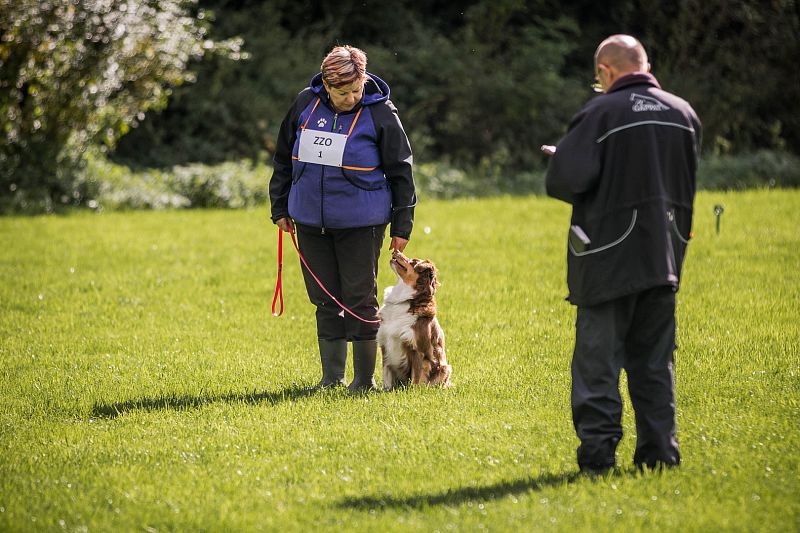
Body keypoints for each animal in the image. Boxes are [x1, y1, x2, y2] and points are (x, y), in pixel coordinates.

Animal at [376, 249, 450, 390]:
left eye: (413, 261)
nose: (396, 250)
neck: (407, 299)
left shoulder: (419, 349)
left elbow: (416, 377)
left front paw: (412, 392)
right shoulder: (385, 344)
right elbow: (386, 374)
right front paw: (385, 390)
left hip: (445, 368)